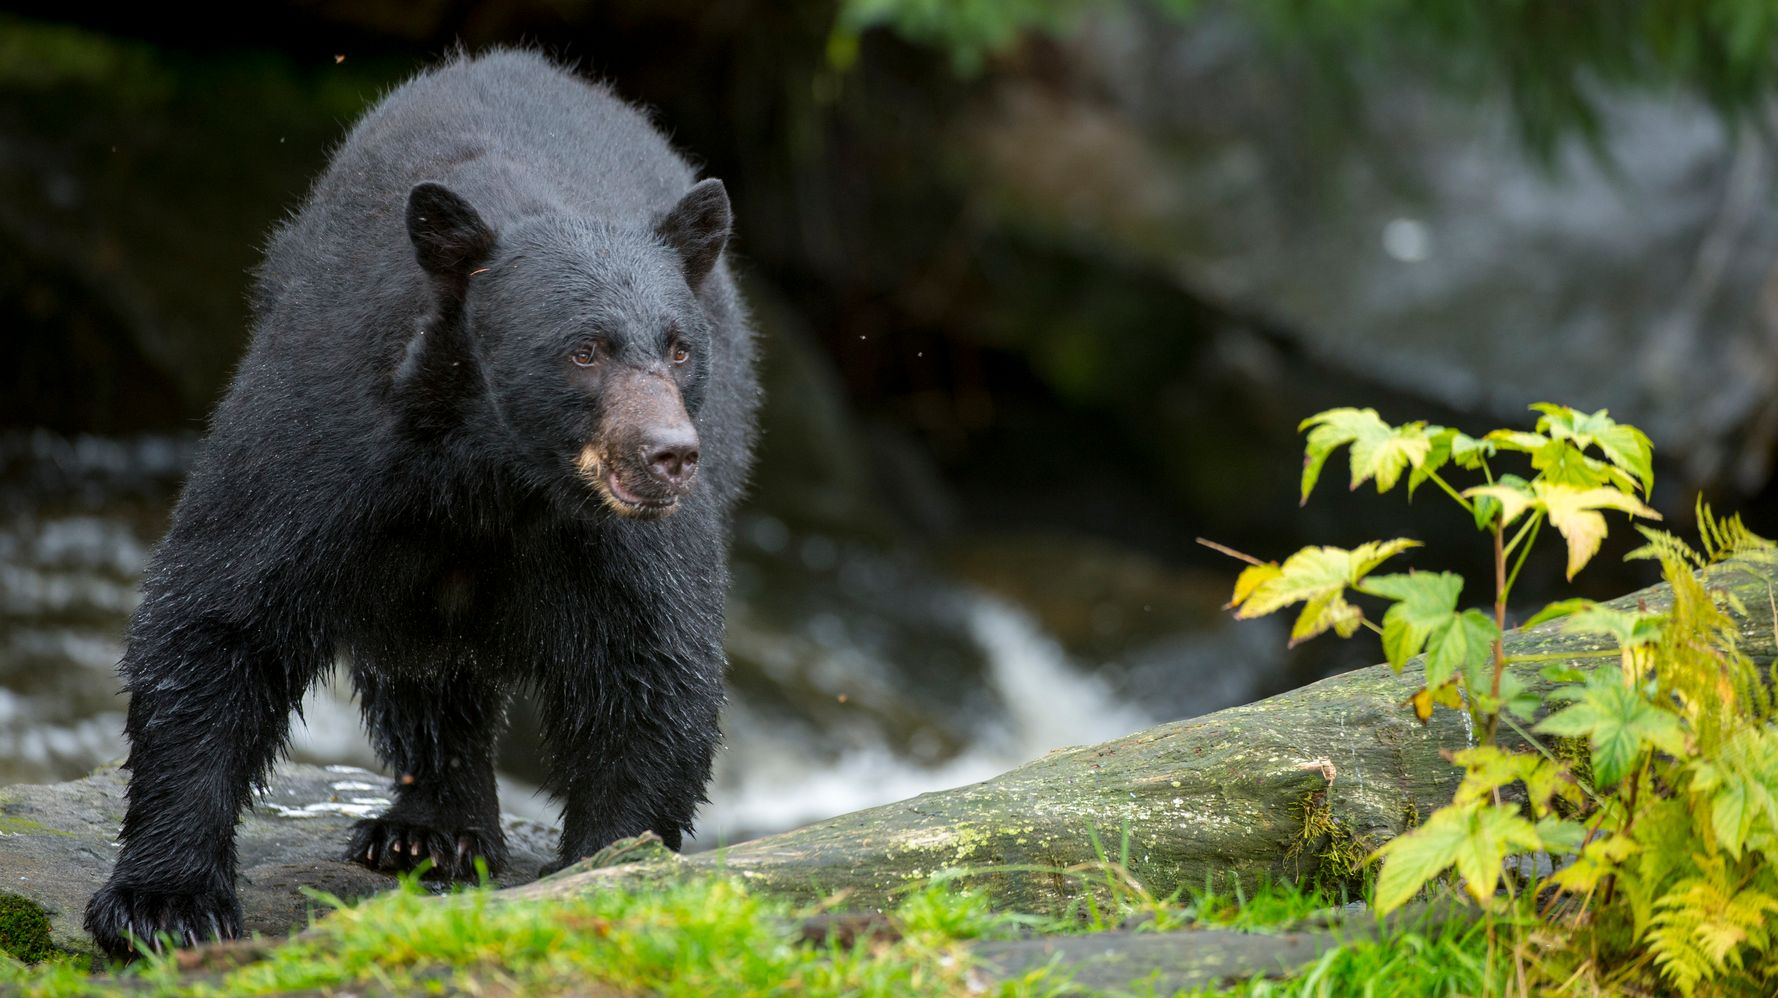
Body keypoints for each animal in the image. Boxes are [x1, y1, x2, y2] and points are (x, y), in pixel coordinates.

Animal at [86, 50, 753, 953]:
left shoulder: (617, 539)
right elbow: (222, 613)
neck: (494, 472)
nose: (669, 456)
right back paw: (429, 830)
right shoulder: (329, 445)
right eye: (584, 349)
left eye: (679, 348)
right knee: (422, 669)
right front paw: (165, 904)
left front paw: (610, 863)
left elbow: (650, 667)